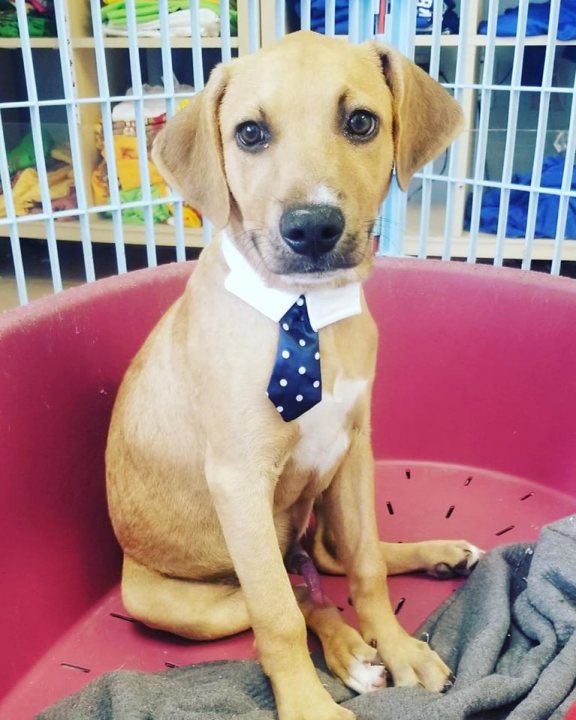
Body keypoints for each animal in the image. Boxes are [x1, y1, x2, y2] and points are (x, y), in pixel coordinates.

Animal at [106, 31, 480, 720]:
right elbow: (278, 616)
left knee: (331, 565)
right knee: (293, 597)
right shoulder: (239, 481)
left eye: (361, 122)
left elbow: (365, 569)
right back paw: (351, 653)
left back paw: (436, 563)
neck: (304, 311)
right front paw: (310, 703)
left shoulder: (354, 448)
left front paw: (398, 648)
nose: (312, 227)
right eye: (250, 133)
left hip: (324, 501)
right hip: (192, 602)